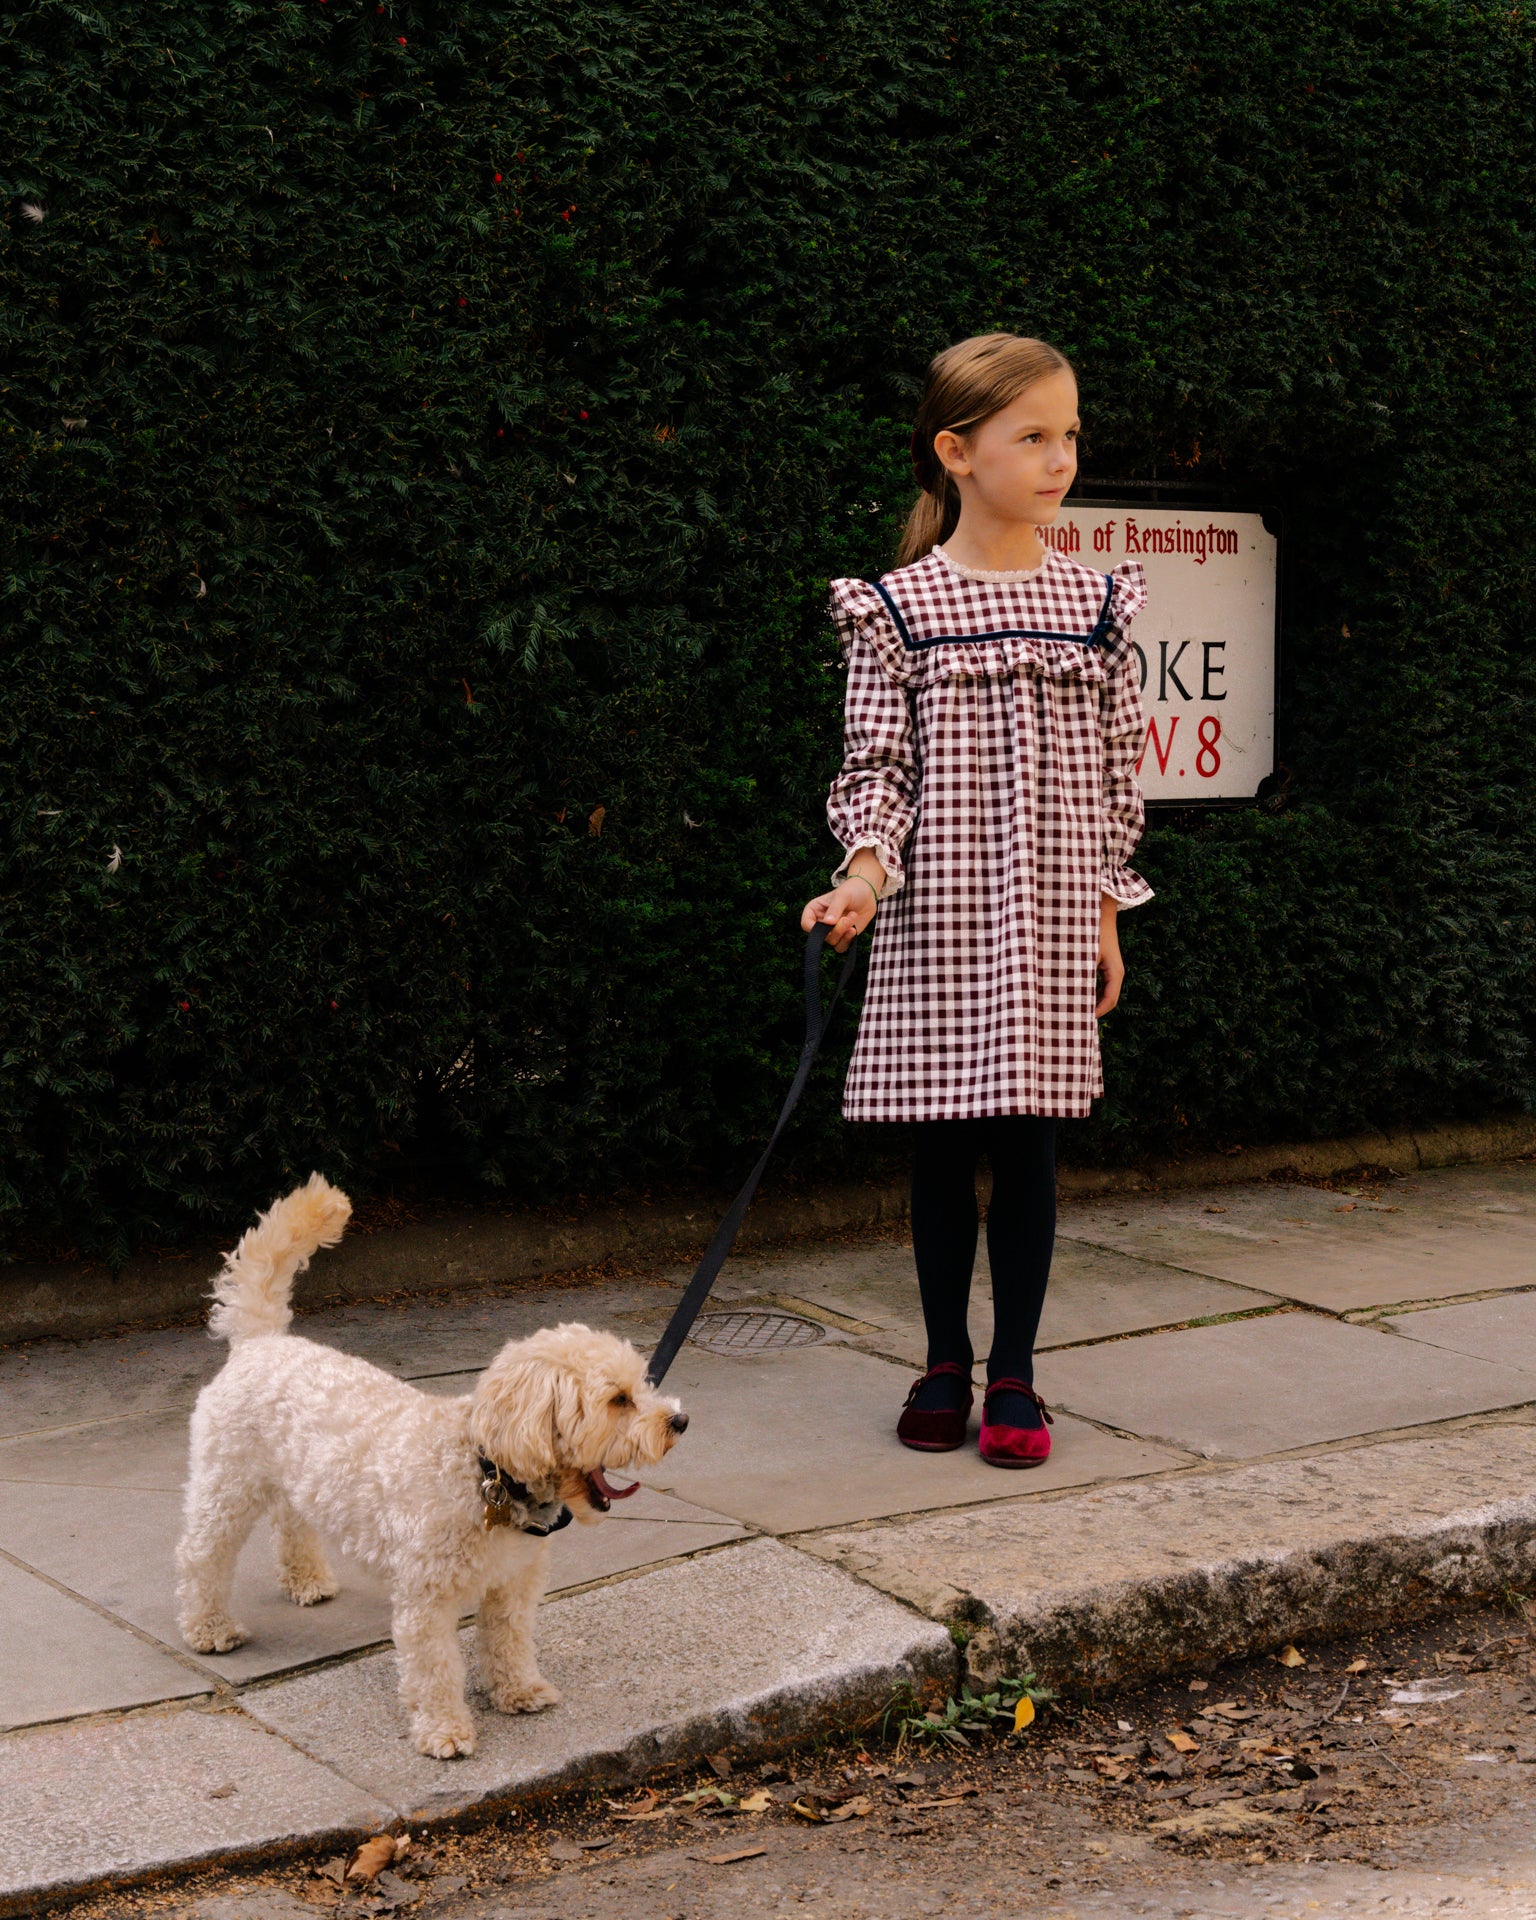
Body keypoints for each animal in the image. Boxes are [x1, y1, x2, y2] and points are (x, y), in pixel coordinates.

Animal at [172, 1167, 691, 1758]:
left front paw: (519, 1690)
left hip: (295, 1480)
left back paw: (307, 1580)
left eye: (643, 1386)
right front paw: (444, 1729)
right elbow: (435, 1668)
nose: (679, 1421)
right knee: (201, 1555)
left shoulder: (512, 1585)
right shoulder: (426, 1598)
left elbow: (509, 1641)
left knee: (291, 1523)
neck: (485, 1472)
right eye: (618, 1400)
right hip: (226, 1485)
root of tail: (259, 1344)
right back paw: (209, 1627)